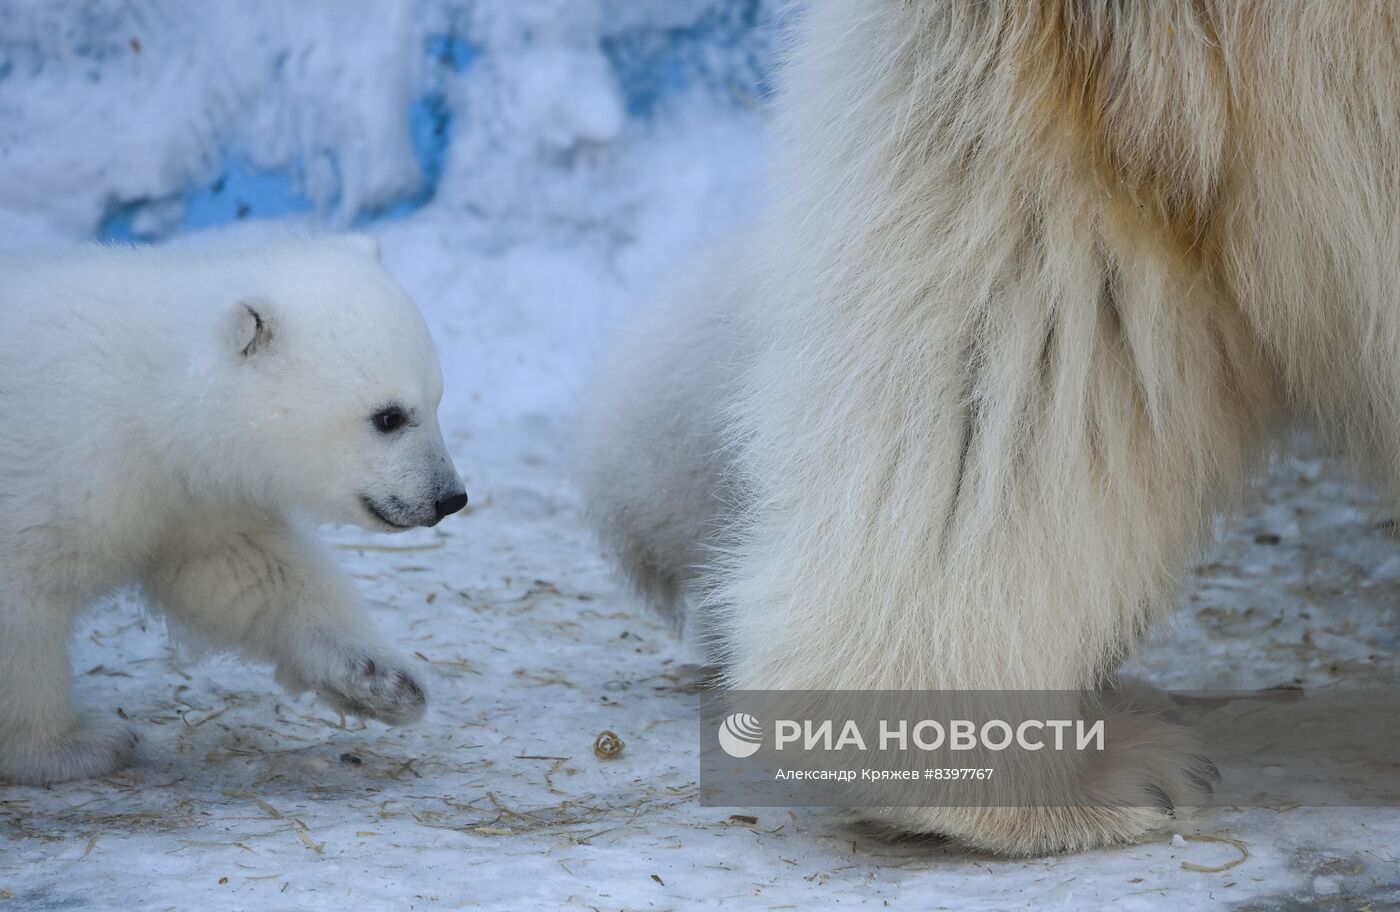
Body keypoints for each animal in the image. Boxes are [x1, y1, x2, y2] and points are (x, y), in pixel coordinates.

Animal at [0, 233, 470, 784]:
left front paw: (381, 680)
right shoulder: (61, 471)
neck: (144, 390)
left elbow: (243, 571)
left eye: (437, 400)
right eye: (389, 416)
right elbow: (22, 599)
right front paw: (71, 746)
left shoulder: (190, 494)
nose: (450, 497)